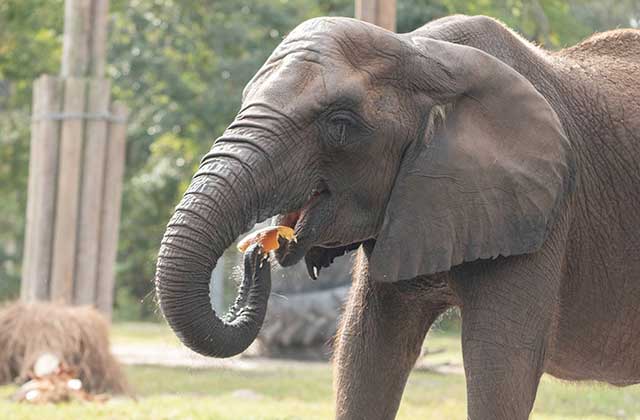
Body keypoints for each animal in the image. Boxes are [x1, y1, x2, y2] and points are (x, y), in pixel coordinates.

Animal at [155, 14, 640, 418]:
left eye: (341, 124)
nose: (256, 255)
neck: (425, 54)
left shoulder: (540, 212)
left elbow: (500, 361)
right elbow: (366, 352)